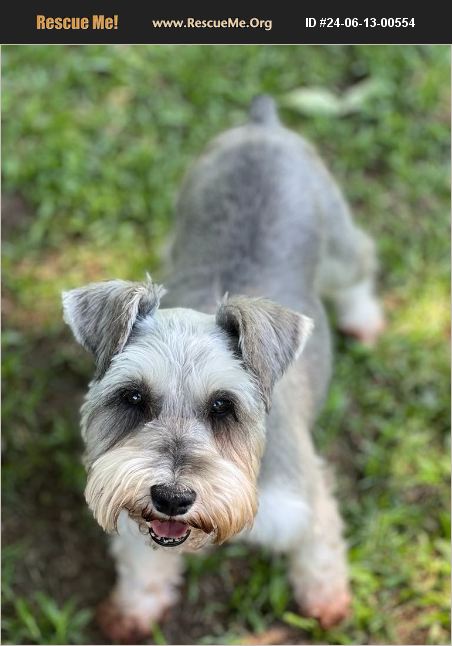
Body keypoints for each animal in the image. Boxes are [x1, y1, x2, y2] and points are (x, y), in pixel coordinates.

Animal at [61, 96, 384, 644]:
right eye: (133, 398)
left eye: (222, 406)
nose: (171, 497)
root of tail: (262, 125)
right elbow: (143, 564)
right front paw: (133, 609)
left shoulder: (306, 503)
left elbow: (320, 554)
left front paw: (327, 602)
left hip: (340, 248)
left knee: (361, 262)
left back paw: (364, 318)